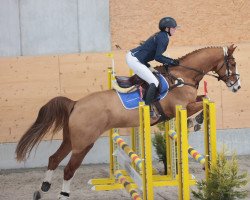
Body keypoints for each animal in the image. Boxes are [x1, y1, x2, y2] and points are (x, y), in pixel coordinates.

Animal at [15, 44, 240, 199]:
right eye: (233, 63)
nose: (236, 86)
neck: (182, 75)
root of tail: (76, 103)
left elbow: (204, 99)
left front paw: (197, 121)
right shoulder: (180, 107)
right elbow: (201, 104)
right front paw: (198, 121)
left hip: (71, 140)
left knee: (54, 159)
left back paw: (42, 189)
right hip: (84, 144)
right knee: (69, 169)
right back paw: (63, 195)